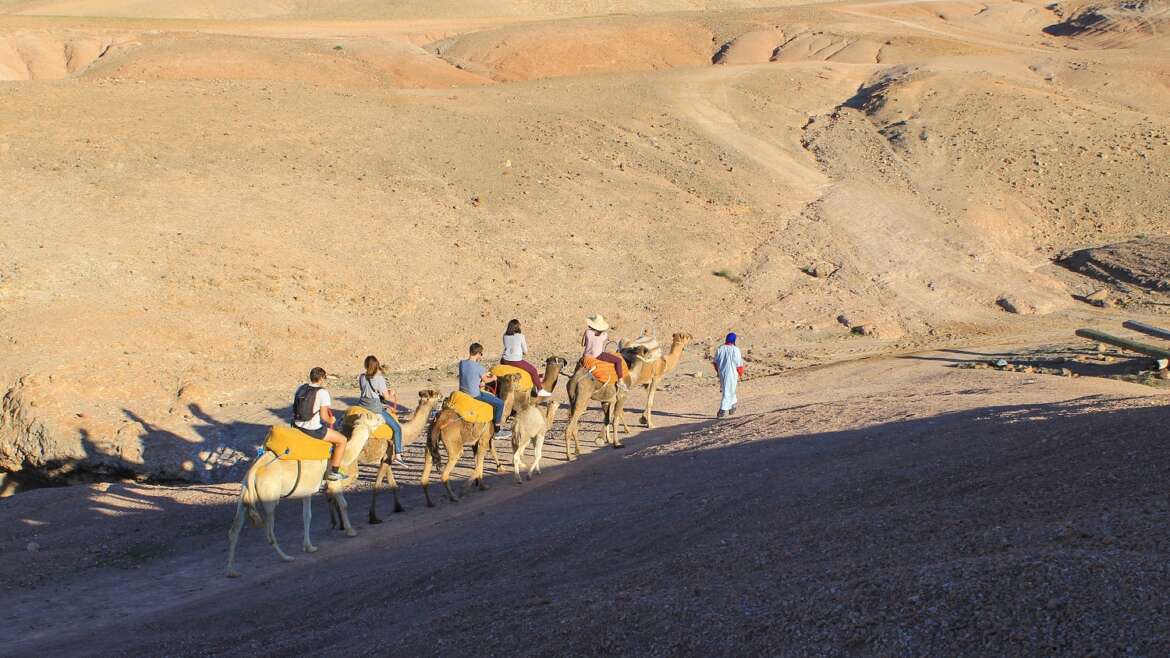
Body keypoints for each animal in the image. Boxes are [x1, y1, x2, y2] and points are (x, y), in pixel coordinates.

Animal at [223, 412, 379, 576]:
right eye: (373, 418)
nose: (382, 417)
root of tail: (253, 470)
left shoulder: (307, 490)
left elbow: (307, 516)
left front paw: (309, 547)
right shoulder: (333, 481)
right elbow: (344, 504)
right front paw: (350, 531)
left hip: (244, 495)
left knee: (234, 530)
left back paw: (231, 571)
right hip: (269, 497)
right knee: (269, 533)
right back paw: (286, 557)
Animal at [416, 372, 517, 503]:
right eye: (513, 377)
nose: (519, 375)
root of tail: (439, 420)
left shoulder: (478, 441)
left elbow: (483, 459)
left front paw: (483, 484)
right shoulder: (484, 439)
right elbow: (480, 464)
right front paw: (465, 488)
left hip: (431, 440)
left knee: (425, 469)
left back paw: (430, 503)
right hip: (454, 445)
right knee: (446, 472)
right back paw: (454, 497)